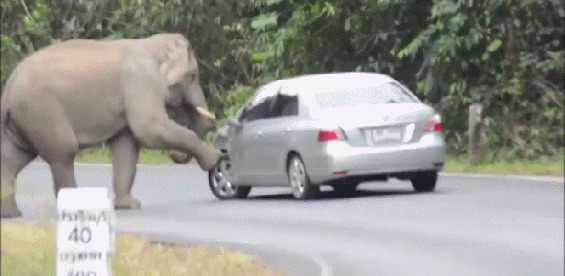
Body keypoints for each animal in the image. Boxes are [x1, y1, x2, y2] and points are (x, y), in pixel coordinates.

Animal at [0, 33, 220, 218]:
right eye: (192, 76)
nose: (175, 156)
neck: (152, 43)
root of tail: (8, 91)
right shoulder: (140, 82)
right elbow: (149, 129)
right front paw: (215, 159)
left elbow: (127, 145)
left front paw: (129, 206)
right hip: (42, 110)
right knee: (63, 152)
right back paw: (80, 212)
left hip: (23, 119)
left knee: (14, 157)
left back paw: (11, 215)